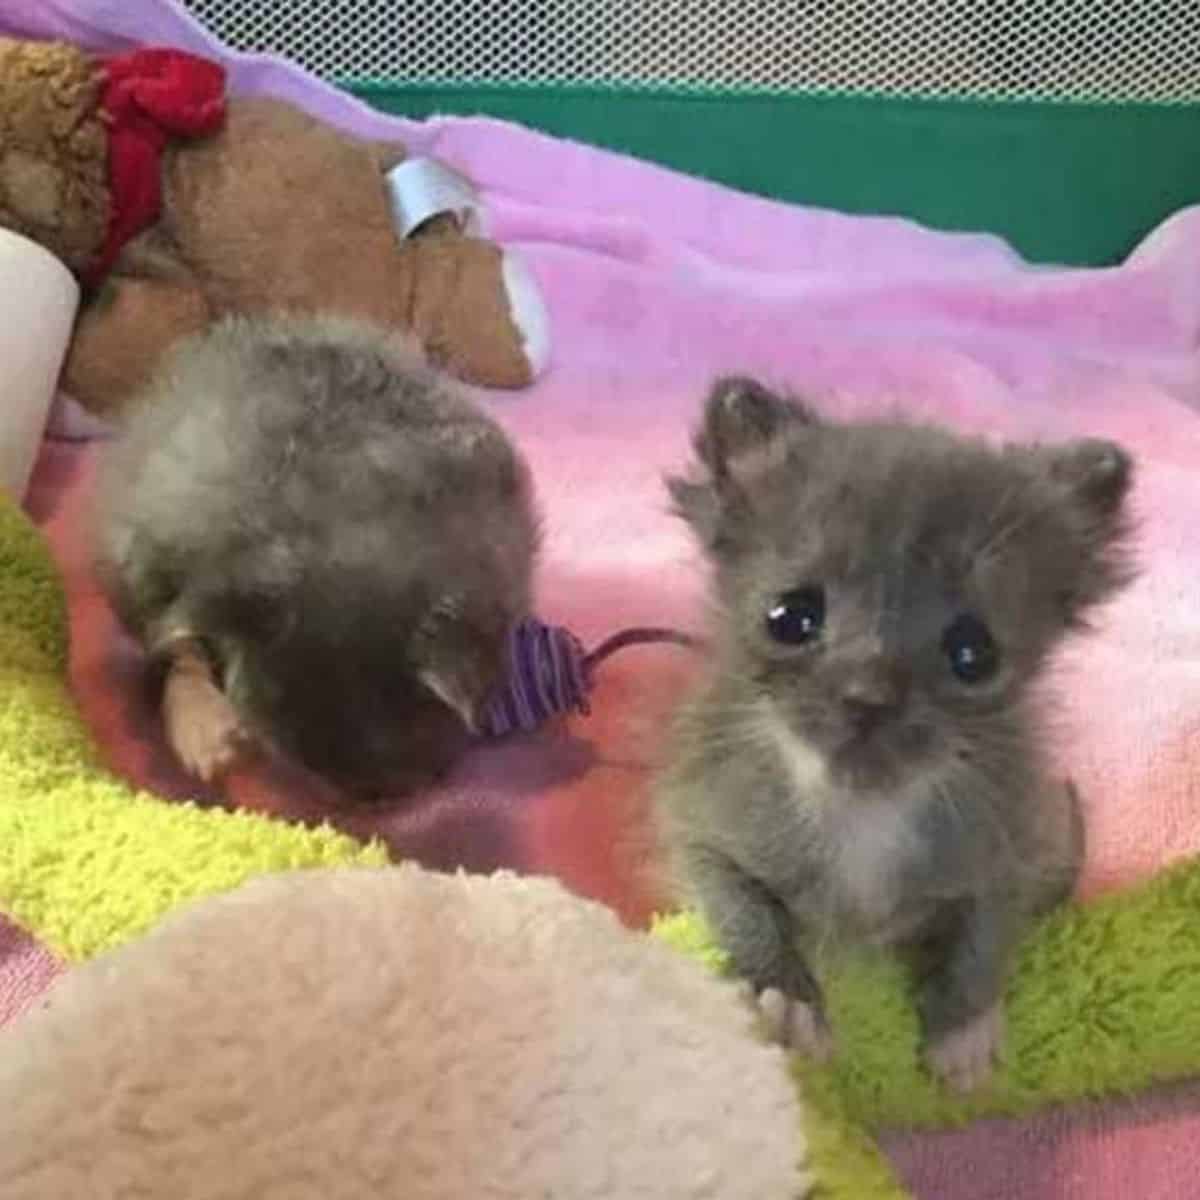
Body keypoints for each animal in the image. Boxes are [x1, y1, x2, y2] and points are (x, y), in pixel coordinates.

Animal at [657, 379, 1132, 1094]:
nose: (869, 698)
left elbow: (986, 935)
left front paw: (963, 1031)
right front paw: (788, 1000)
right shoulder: (702, 828)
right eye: (790, 617)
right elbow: (742, 911)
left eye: (973, 653)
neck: (863, 812)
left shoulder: (1011, 847)